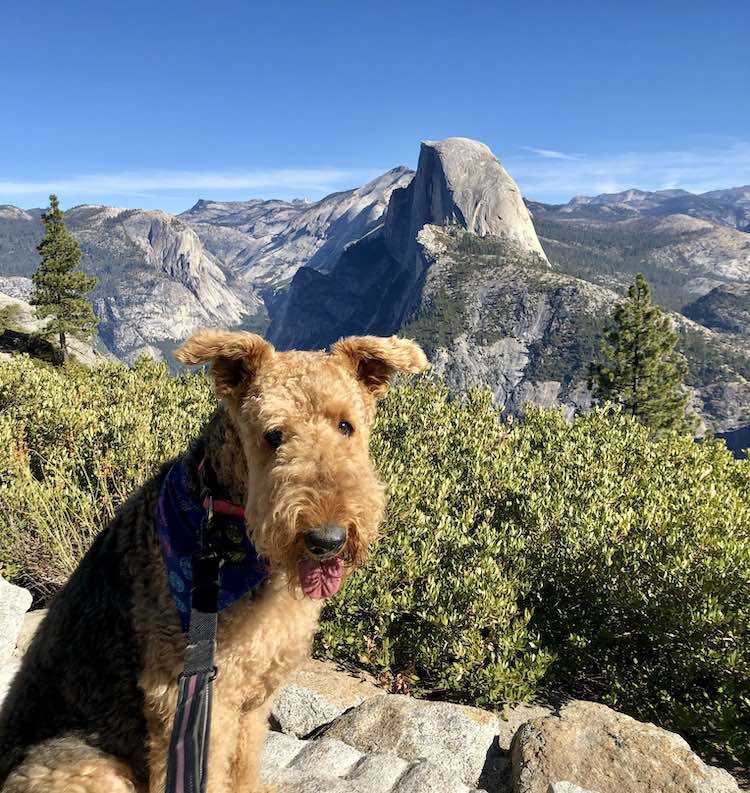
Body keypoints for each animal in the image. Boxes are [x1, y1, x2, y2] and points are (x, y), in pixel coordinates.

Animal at [0, 332, 428, 792]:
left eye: (346, 425)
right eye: (273, 435)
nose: (326, 540)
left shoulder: (252, 699)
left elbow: (243, 767)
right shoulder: (192, 701)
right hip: (96, 770)